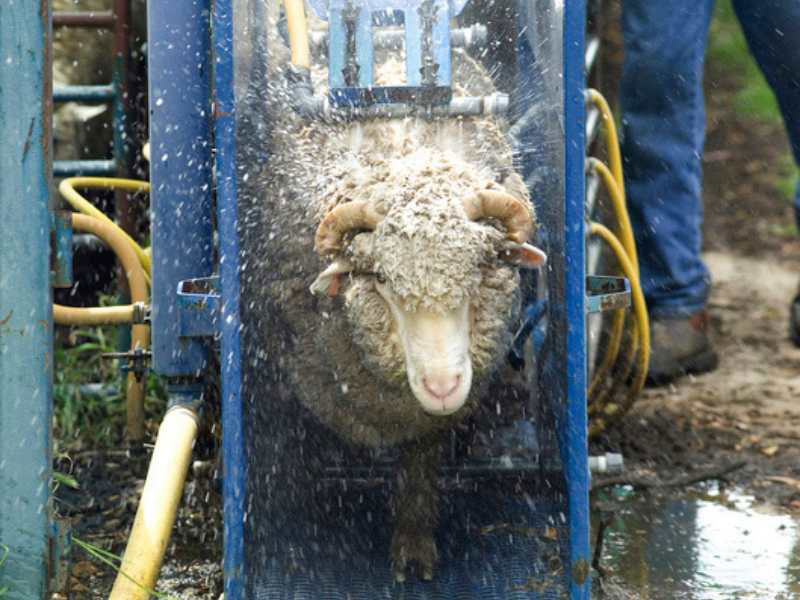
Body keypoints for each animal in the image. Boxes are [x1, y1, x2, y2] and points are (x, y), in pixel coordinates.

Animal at [239, 9, 546, 582]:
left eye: (479, 272)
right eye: (379, 279)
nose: (444, 385)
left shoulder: (426, 416)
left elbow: (421, 461)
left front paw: (414, 542)